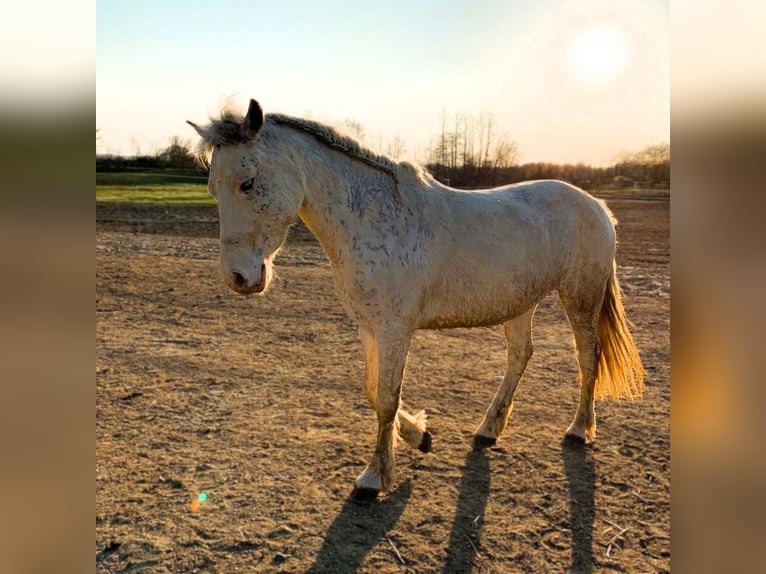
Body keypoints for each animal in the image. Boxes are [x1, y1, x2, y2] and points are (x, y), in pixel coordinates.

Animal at [189, 98, 644, 500]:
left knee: (588, 356)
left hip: (580, 298)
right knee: (520, 357)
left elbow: (387, 399)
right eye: (211, 187)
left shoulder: (394, 330)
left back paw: (579, 430)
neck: (374, 218)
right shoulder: (370, 327)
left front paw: (374, 479)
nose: (238, 278)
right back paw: (488, 430)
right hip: (521, 304)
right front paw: (420, 436)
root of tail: (597, 206)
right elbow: (373, 391)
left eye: (247, 182)